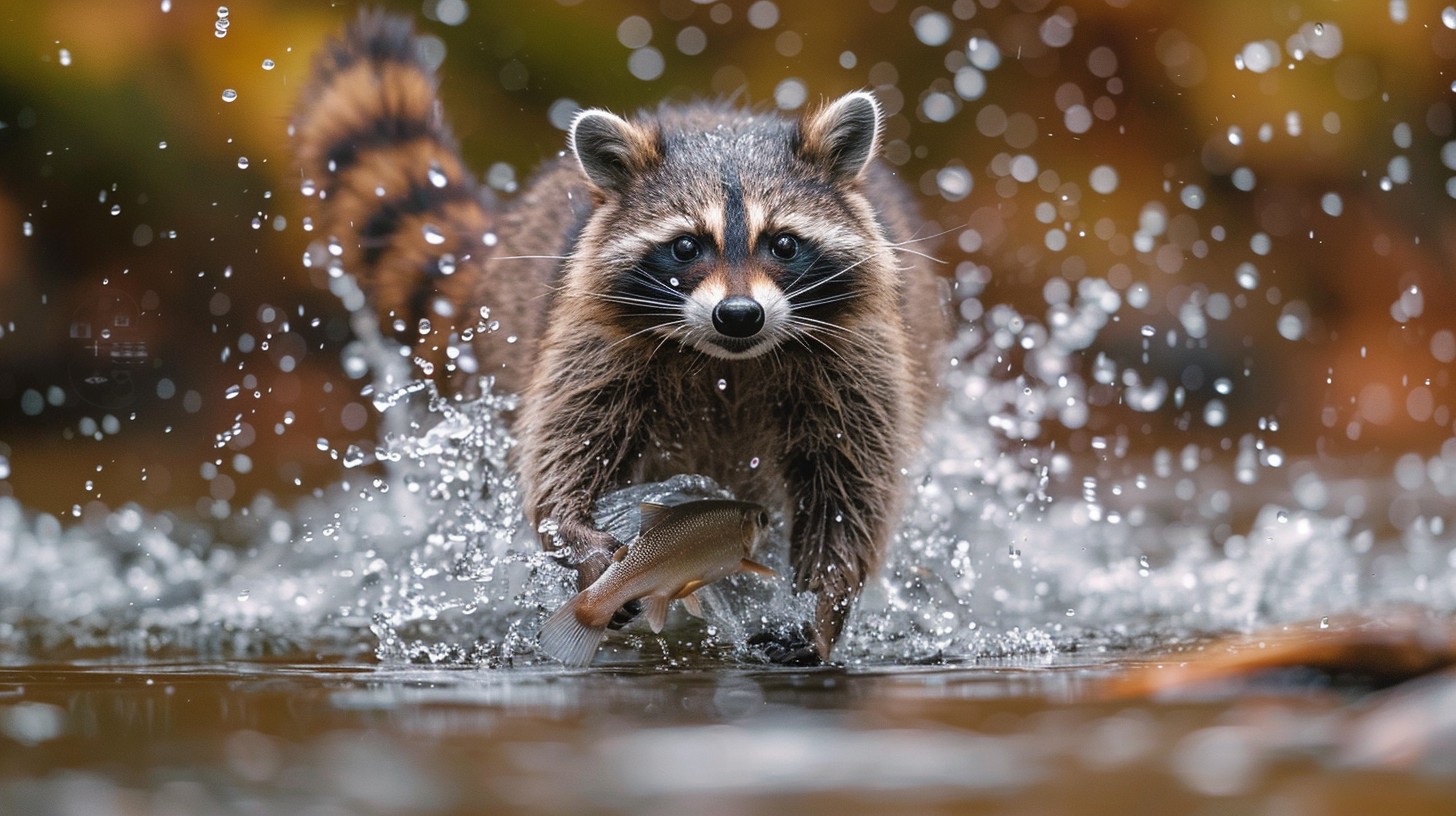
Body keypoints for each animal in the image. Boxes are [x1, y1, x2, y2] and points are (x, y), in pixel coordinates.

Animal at [295, 12, 949, 661]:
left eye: (783, 244)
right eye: (686, 246)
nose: (739, 314)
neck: (729, 359)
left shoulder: (856, 353)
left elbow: (851, 489)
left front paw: (820, 603)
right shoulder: (592, 339)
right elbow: (563, 454)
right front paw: (582, 540)